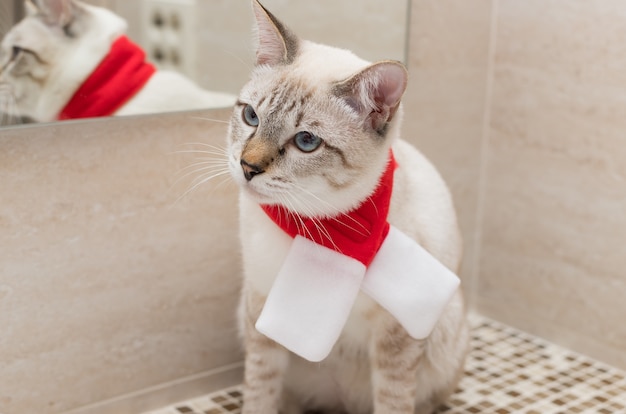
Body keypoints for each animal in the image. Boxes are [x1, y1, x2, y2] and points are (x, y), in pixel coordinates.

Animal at [228, 0, 468, 414]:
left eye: (306, 141)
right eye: (251, 117)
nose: (247, 167)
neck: (311, 224)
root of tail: (341, 405)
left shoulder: (397, 334)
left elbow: (393, 401)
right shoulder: (260, 308)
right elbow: (260, 392)